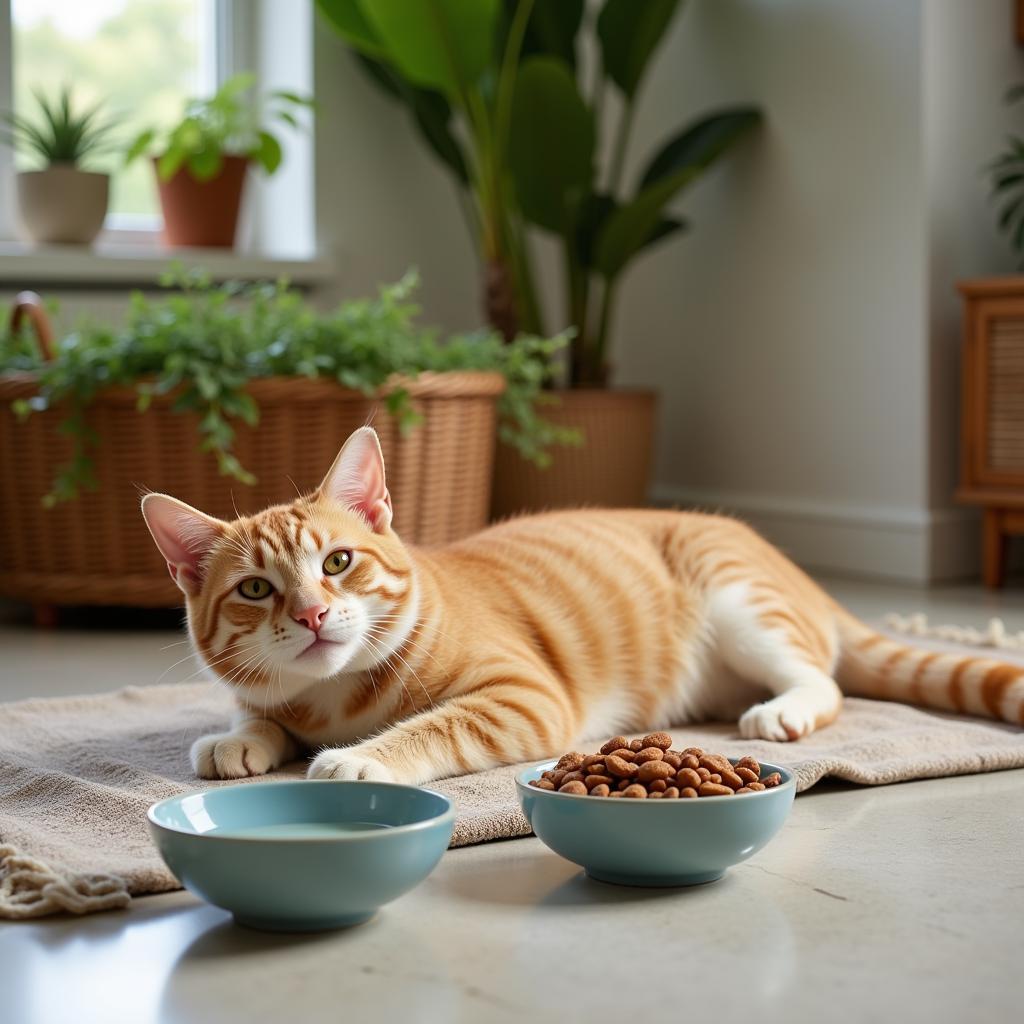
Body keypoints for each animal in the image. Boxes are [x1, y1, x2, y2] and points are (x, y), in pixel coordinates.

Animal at [142, 425, 1024, 782]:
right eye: (257, 589)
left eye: (338, 562)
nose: (314, 617)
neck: (332, 698)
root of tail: (802, 576)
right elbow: (255, 712)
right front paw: (242, 739)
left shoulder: (523, 697)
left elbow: (430, 726)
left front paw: (363, 757)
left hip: (740, 599)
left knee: (825, 680)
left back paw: (785, 709)